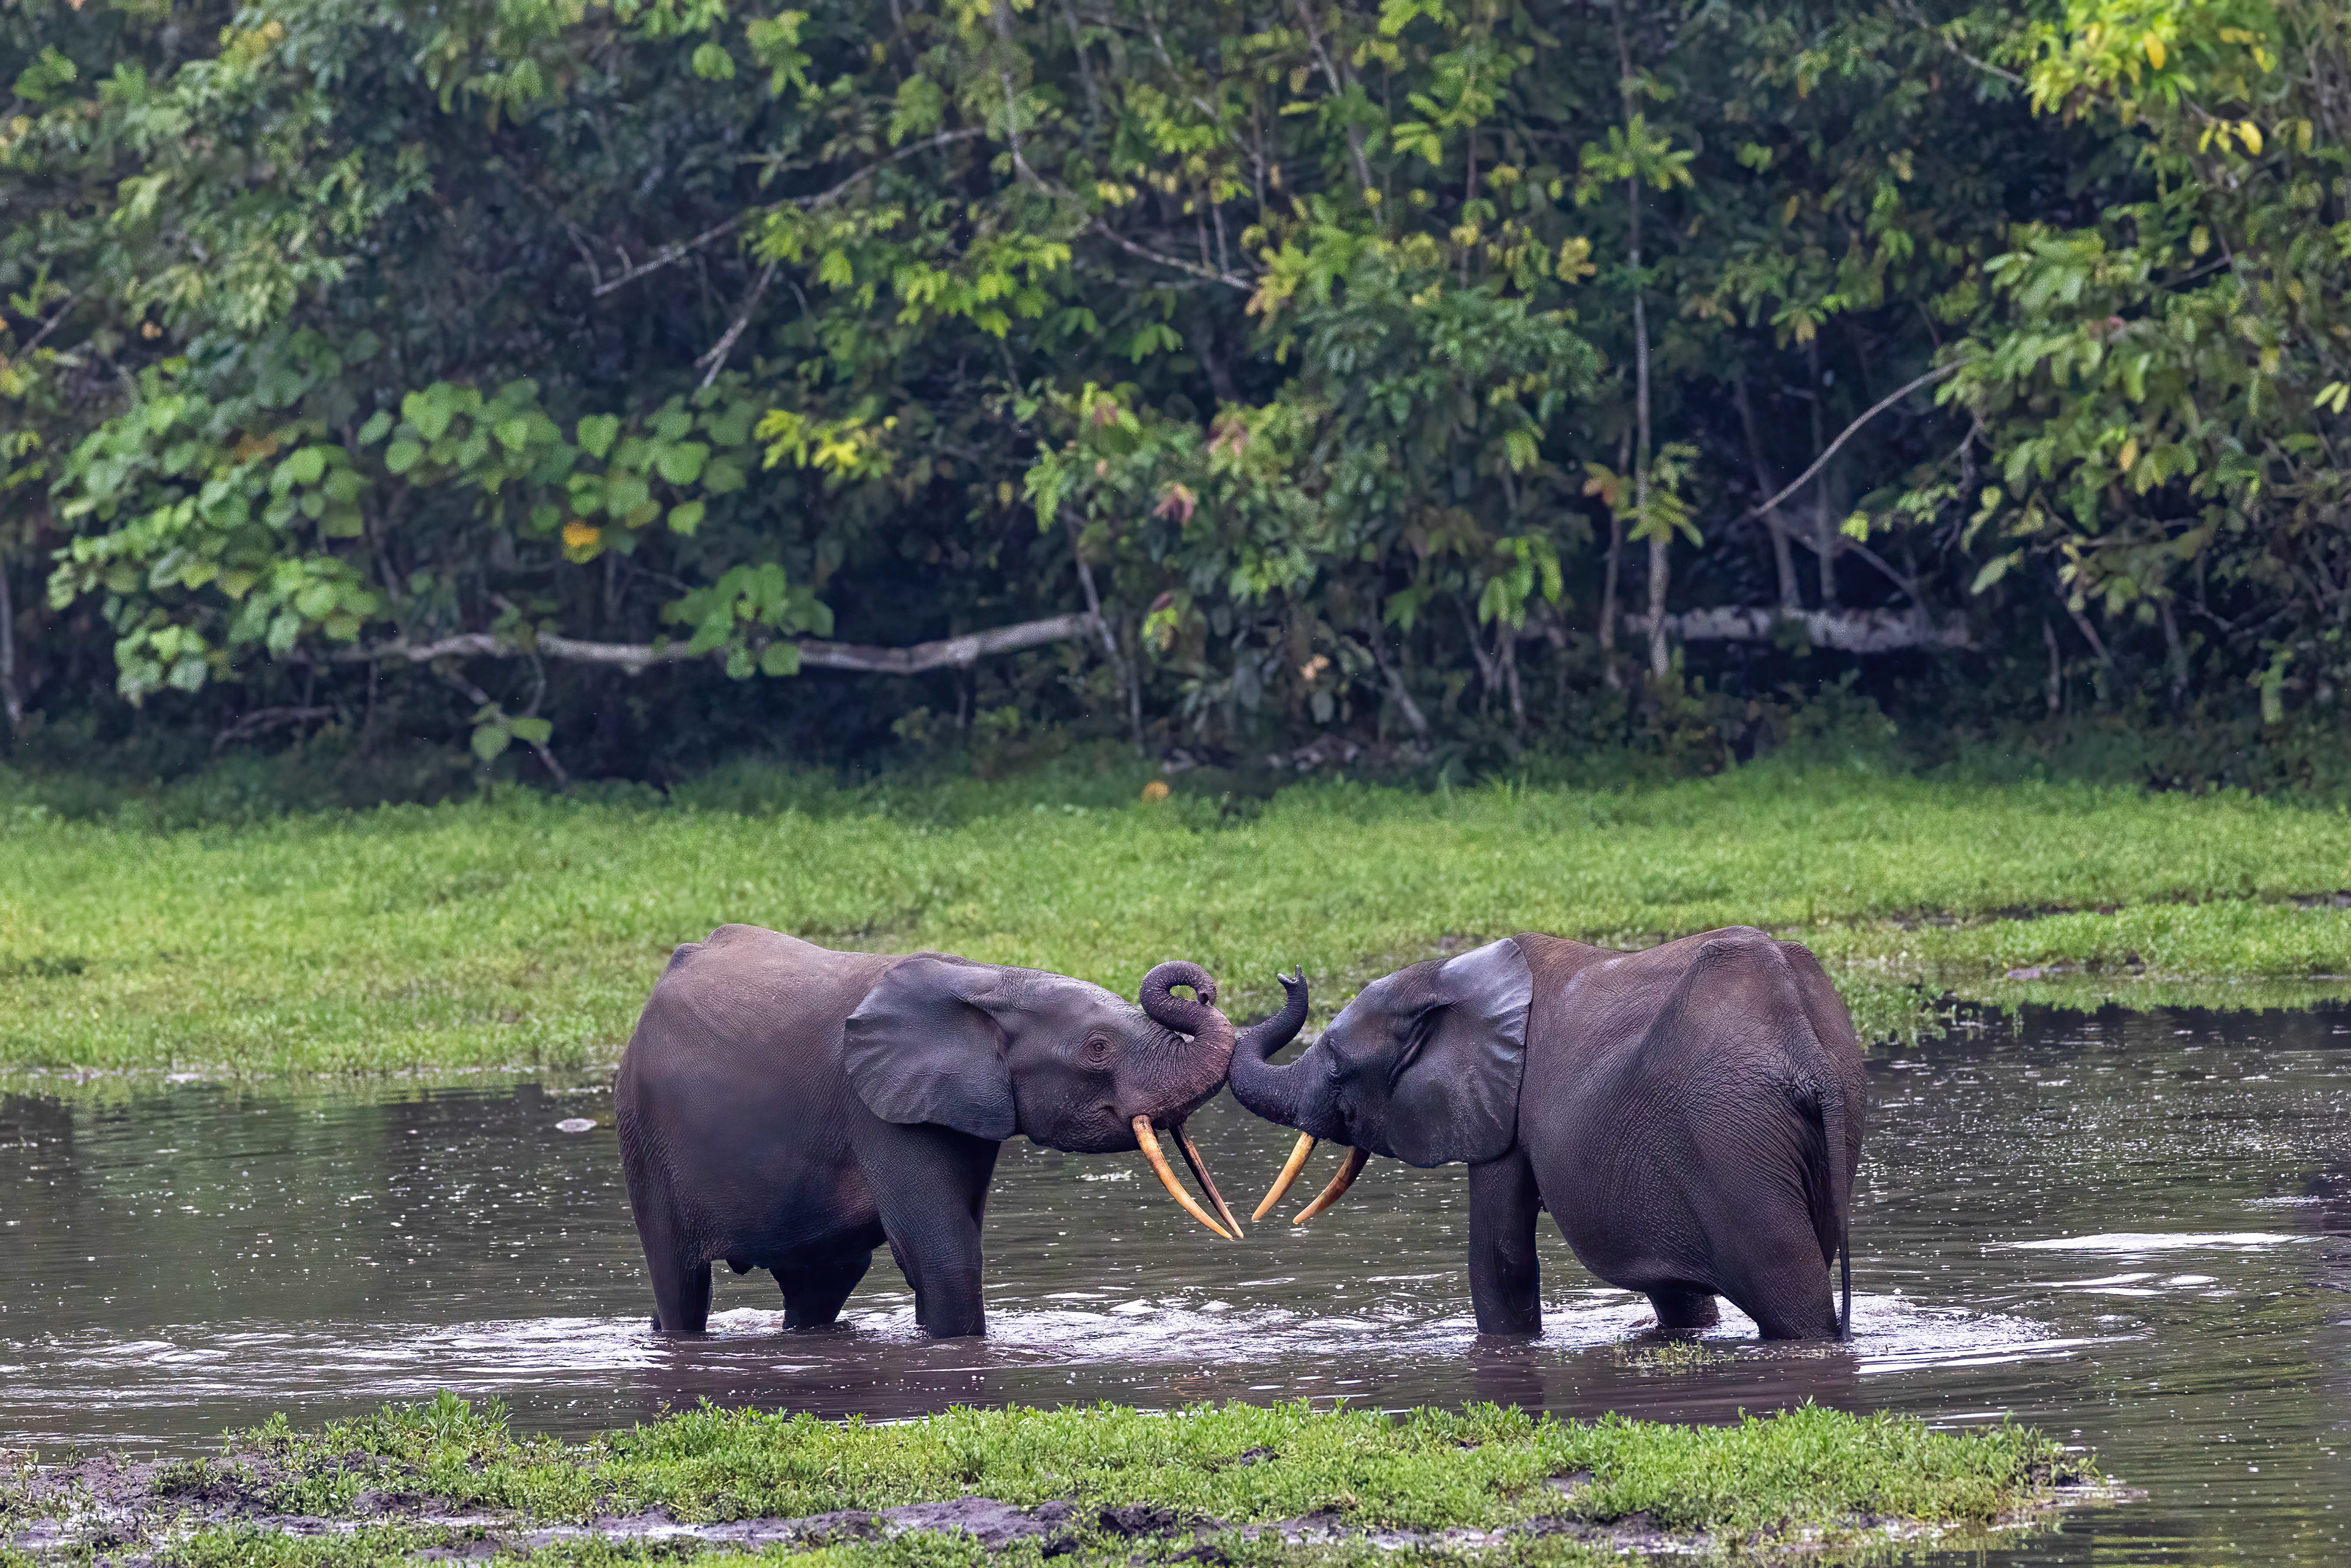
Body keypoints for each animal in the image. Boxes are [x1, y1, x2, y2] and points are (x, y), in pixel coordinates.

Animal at [615, 924, 1246, 1339]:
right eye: (1097, 1048)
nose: (1200, 989)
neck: (991, 981)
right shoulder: (879, 1109)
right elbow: (945, 1252)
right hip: (643, 1134)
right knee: (682, 1281)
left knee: (821, 1281)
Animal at [1229, 926, 1867, 1340]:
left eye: (1338, 1067)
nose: (1289, 974)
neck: (1452, 977)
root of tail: (1800, 1042)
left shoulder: (1504, 1108)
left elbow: (1501, 1257)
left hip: (1730, 1136)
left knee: (1792, 1300)